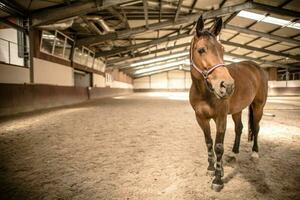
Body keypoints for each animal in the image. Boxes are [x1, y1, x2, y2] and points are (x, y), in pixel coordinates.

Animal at [189, 16, 268, 191]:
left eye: (222, 49)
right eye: (201, 50)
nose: (228, 85)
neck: (204, 92)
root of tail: (256, 67)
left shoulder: (221, 117)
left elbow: (219, 146)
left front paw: (218, 179)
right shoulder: (200, 118)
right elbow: (209, 142)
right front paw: (211, 168)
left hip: (258, 107)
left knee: (256, 128)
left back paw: (255, 153)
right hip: (238, 110)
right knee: (239, 128)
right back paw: (234, 153)